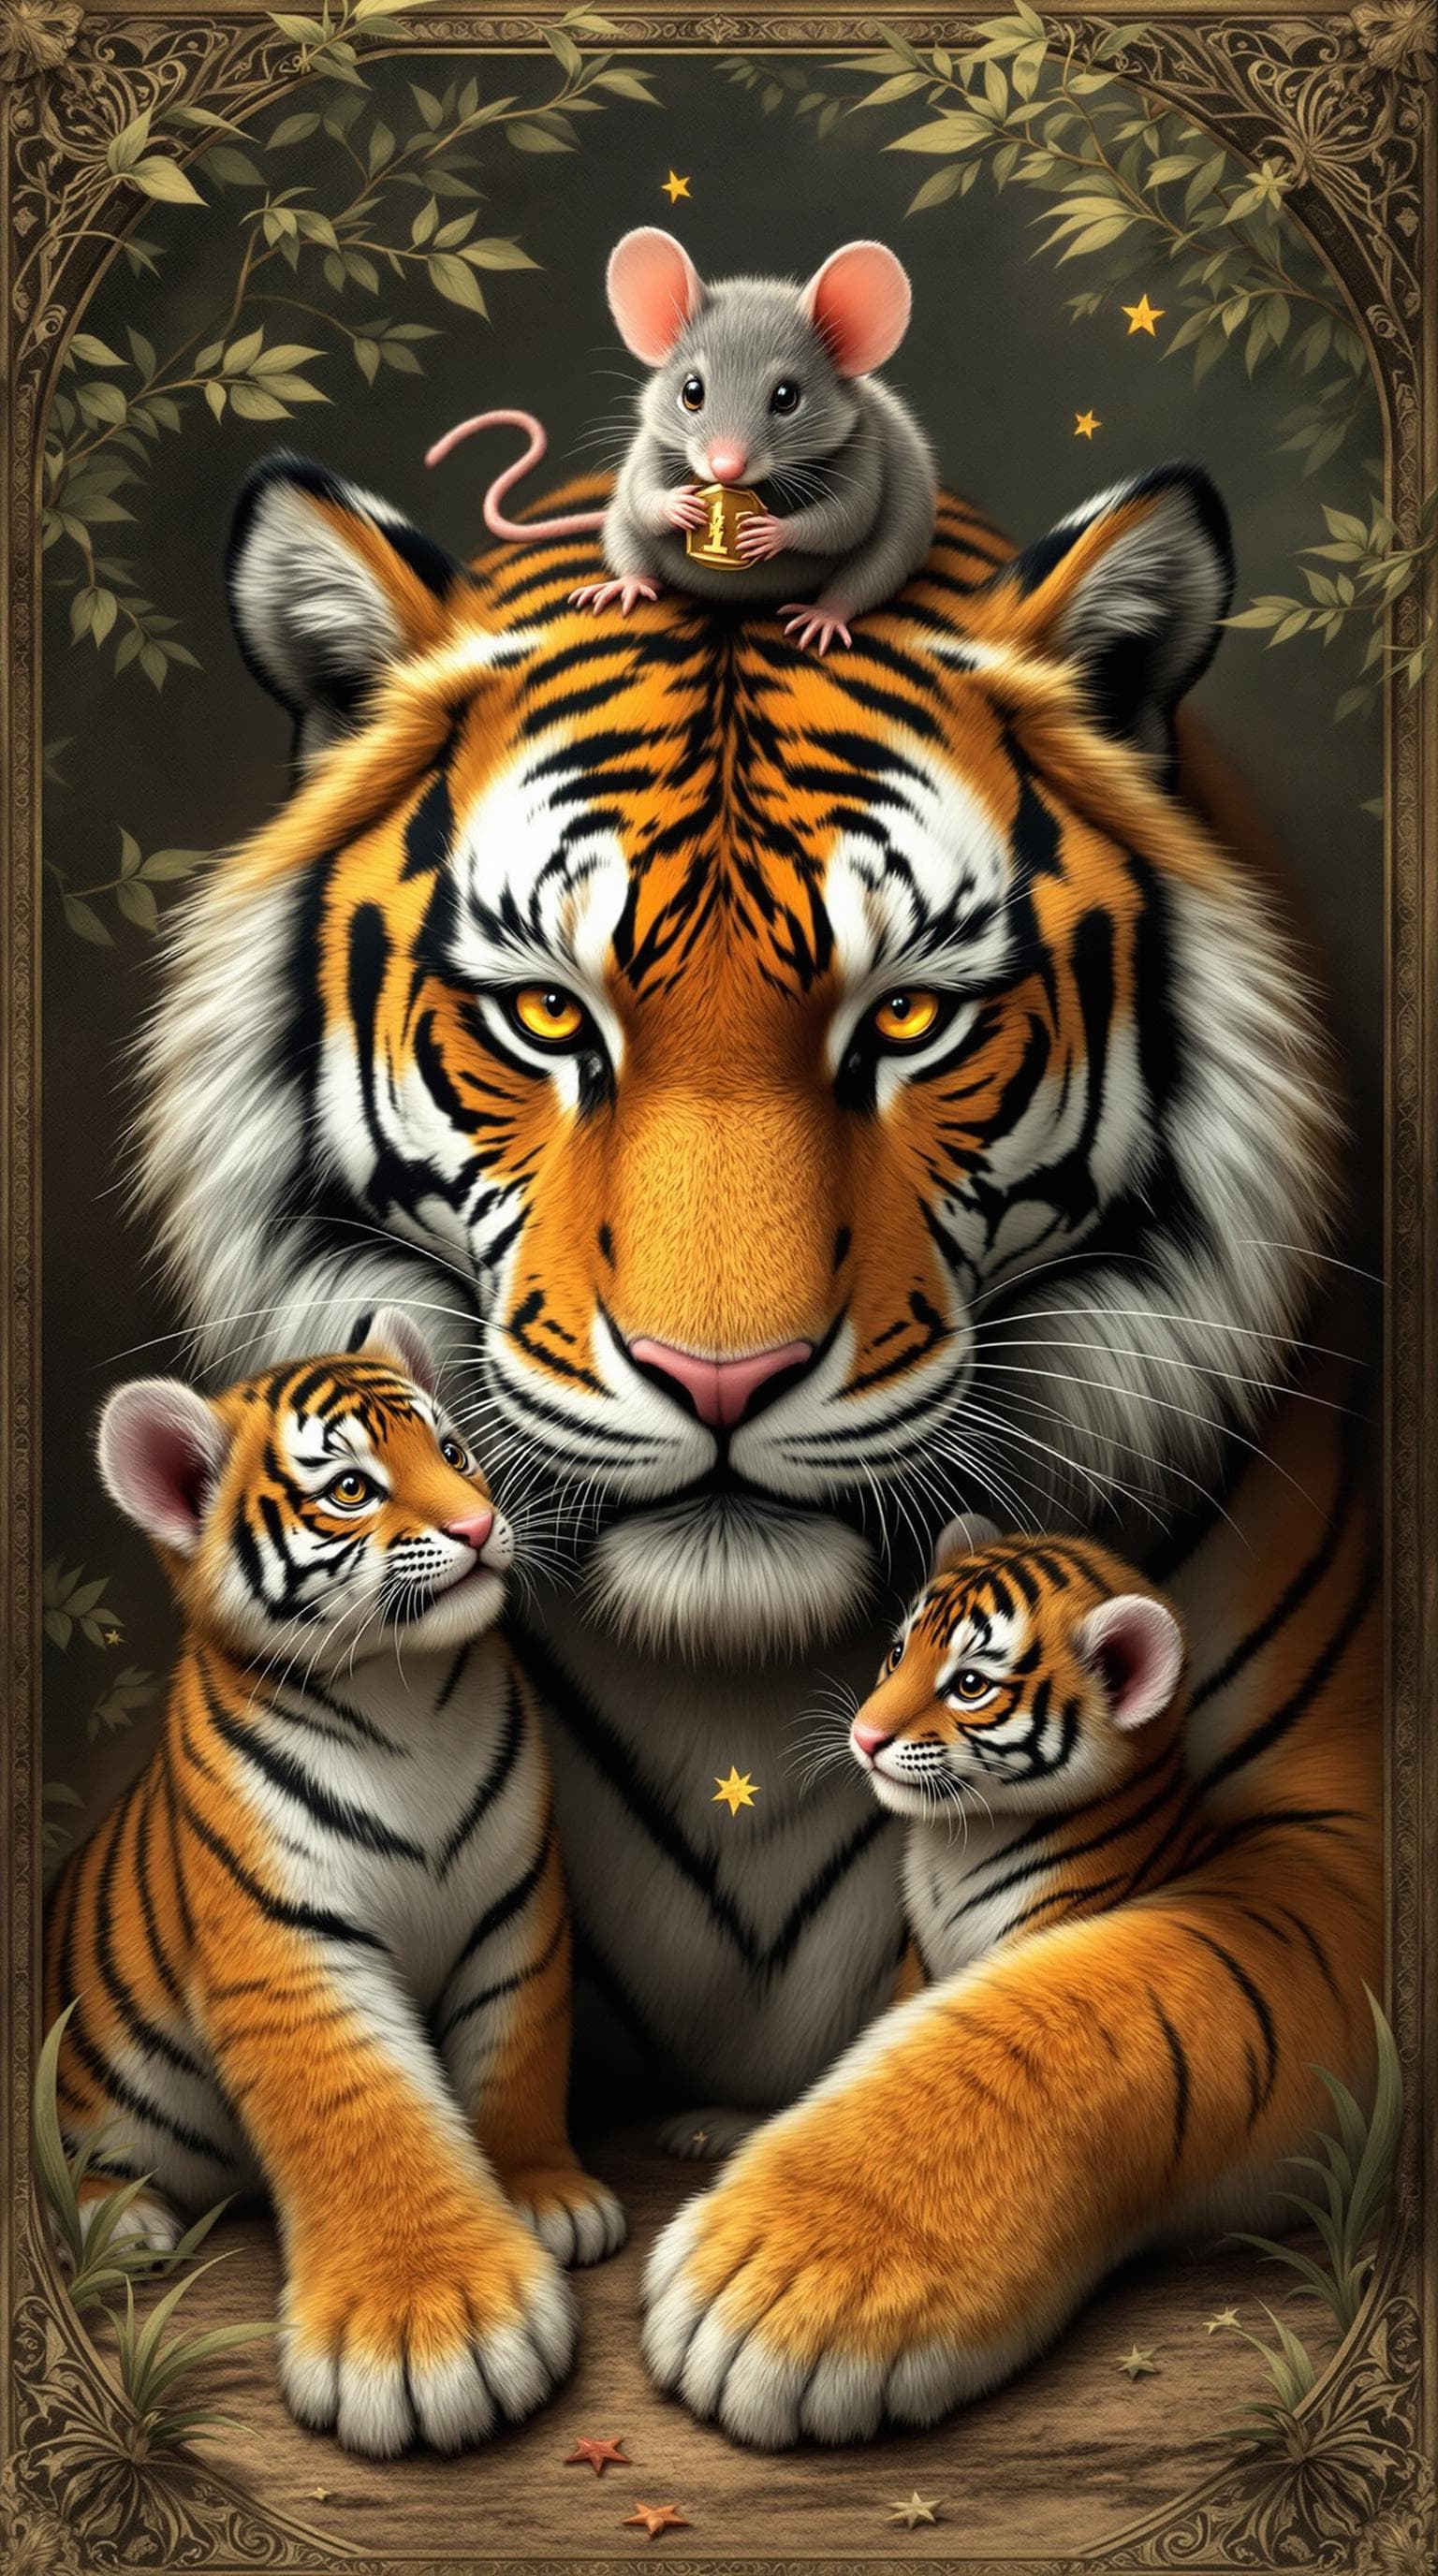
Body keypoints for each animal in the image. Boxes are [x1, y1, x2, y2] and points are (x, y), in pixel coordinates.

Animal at [44, 1310, 624, 2459]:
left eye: (452, 1450)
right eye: (353, 1488)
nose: (481, 1523)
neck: (407, 1693)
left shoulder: (517, 1906)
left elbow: (515, 2053)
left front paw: (544, 2193)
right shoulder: (288, 1940)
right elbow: (364, 2108)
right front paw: (429, 2326)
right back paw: (120, 2221)